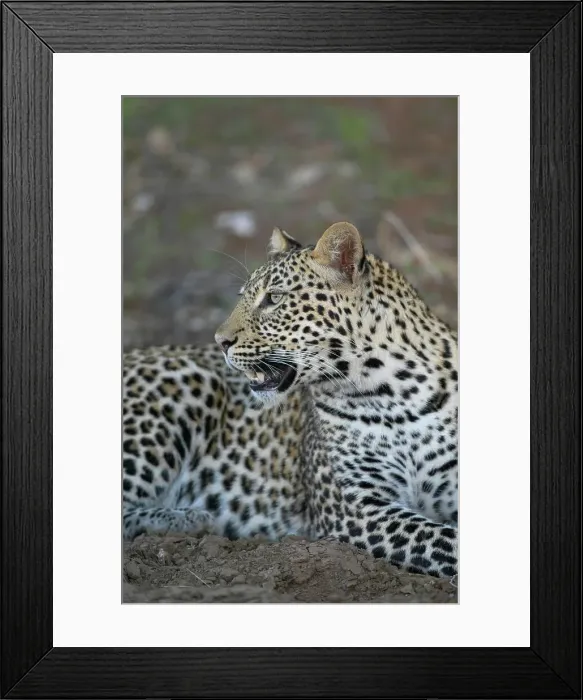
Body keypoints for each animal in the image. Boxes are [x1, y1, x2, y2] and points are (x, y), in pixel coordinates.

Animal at [123, 222, 458, 579]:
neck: (396, 391)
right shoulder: (357, 509)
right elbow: (448, 541)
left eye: (274, 298)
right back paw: (193, 519)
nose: (219, 341)